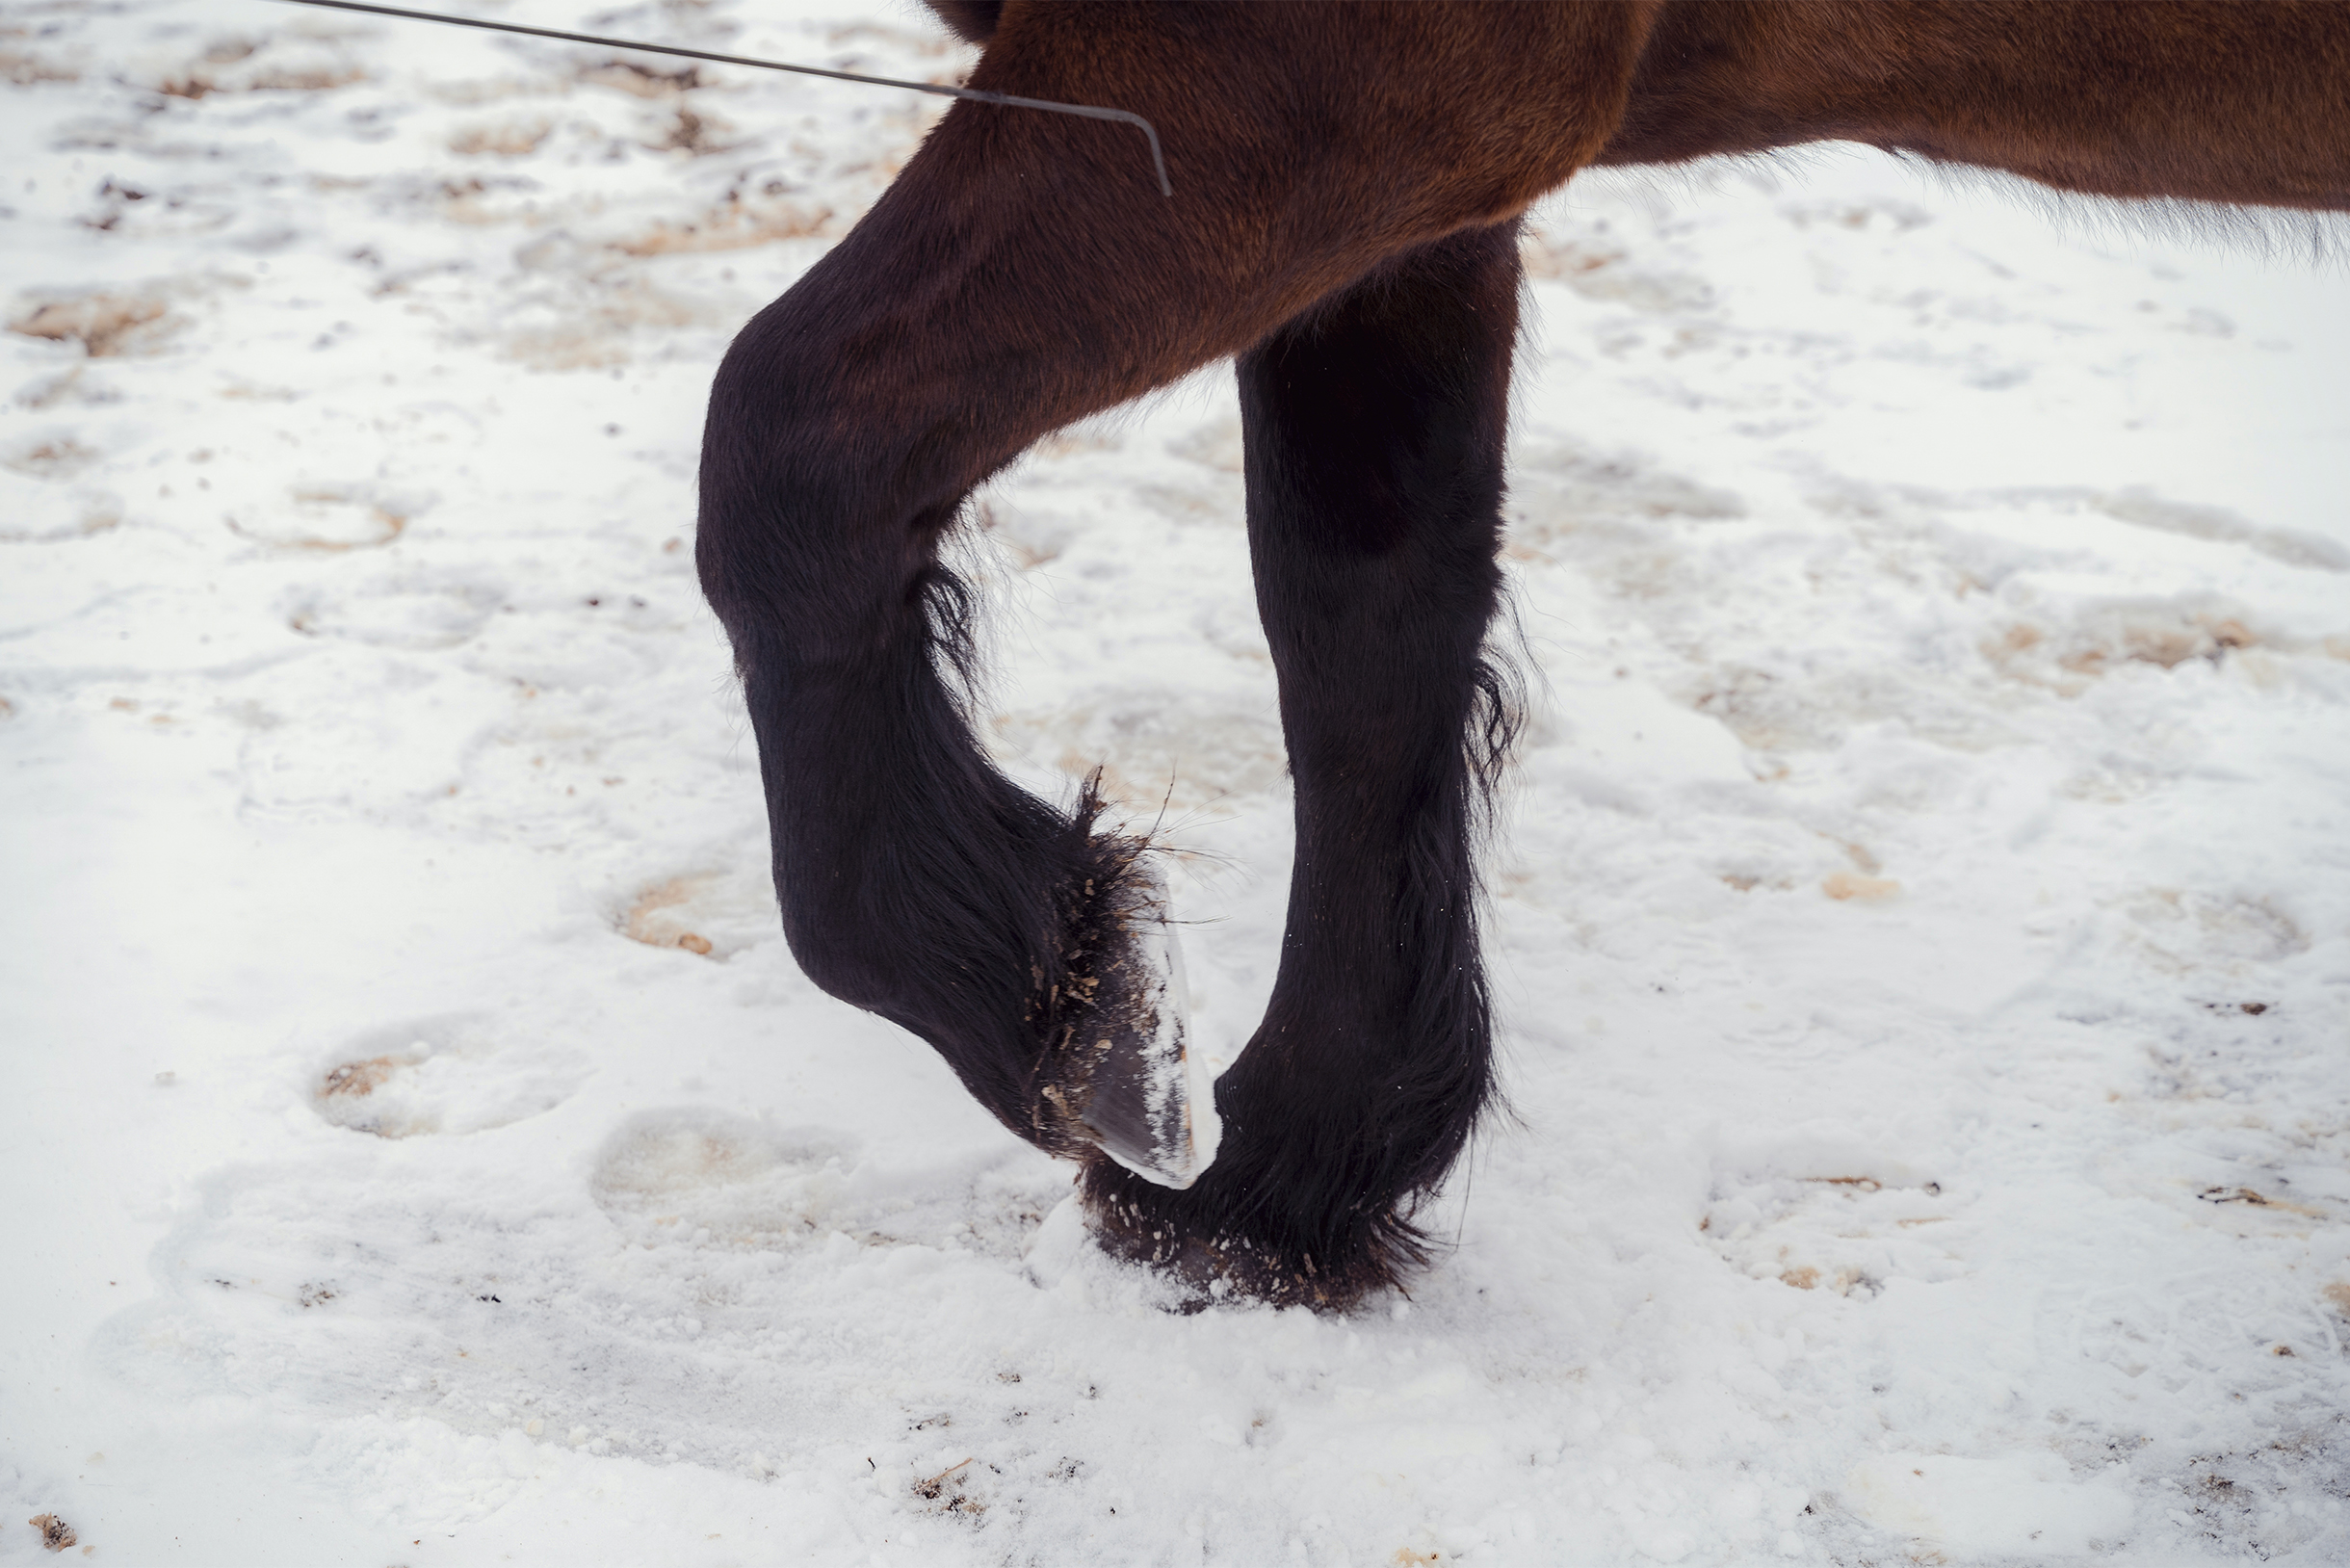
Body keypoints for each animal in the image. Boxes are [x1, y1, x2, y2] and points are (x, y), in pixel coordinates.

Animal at [695, 3, 2350, 1316]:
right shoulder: (1417, 206)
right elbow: (1365, 633)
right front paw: (1284, 1179)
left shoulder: (1329, 90)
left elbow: (790, 449)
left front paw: (1073, 1016)